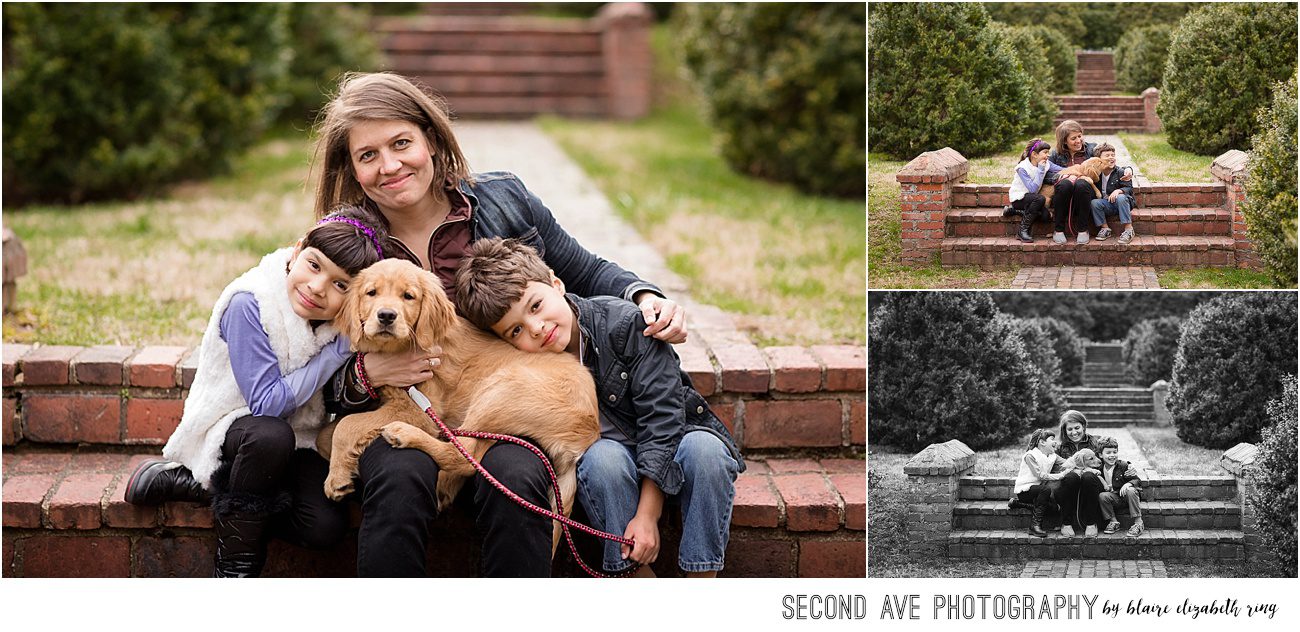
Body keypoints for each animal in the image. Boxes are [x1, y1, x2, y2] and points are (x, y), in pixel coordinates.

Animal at [317, 256, 600, 548]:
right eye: (371, 293)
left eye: (408, 296)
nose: (386, 316)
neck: (402, 347)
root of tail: (588, 436)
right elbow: (325, 434)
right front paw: (345, 466)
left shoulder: (417, 408)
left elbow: (346, 426)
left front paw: (336, 478)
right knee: (471, 453)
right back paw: (444, 485)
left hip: (500, 389)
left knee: (463, 454)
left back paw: (405, 435)